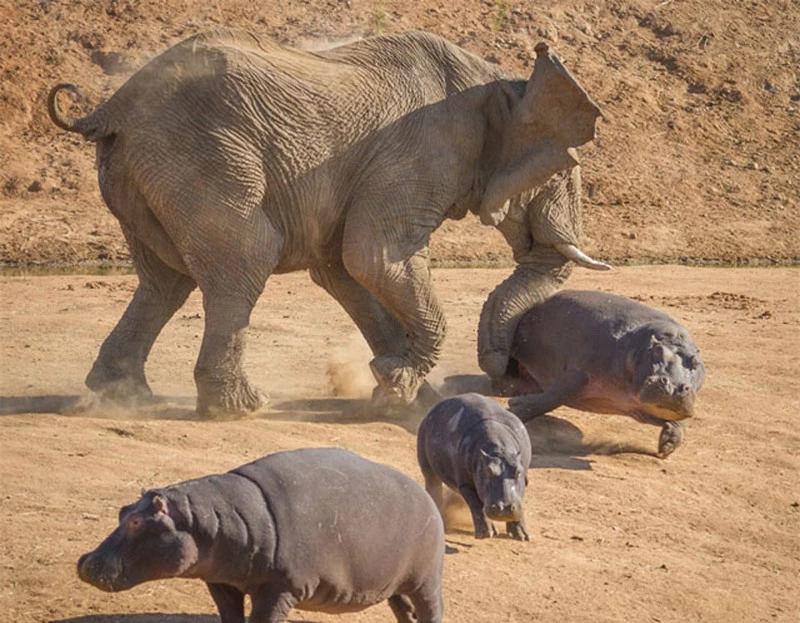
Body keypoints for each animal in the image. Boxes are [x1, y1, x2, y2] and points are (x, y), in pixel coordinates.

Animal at [47, 30, 604, 420]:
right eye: (564, 170)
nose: (502, 374)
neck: (501, 81)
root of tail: (111, 106)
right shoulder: (421, 152)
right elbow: (374, 258)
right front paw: (400, 384)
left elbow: (345, 270)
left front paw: (404, 394)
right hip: (203, 157)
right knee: (245, 260)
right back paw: (239, 409)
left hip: (141, 172)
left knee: (165, 281)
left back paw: (122, 396)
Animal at [76, 448, 444, 623]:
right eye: (122, 511)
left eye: (138, 522)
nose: (85, 561)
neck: (208, 520)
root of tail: (426, 496)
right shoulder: (220, 582)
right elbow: (229, 616)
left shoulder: (278, 588)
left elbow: (263, 618)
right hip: (393, 583)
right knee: (404, 610)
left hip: (426, 579)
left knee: (430, 609)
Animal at [418, 394, 532, 540]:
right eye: (486, 472)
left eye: (518, 472)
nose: (504, 508)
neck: (499, 451)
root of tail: (433, 409)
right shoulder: (464, 483)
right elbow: (476, 505)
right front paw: (485, 534)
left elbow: (518, 499)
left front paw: (522, 536)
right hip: (426, 463)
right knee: (433, 483)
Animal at [506, 288, 708, 458]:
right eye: (657, 350)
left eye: (696, 362)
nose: (674, 388)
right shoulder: (580, 372)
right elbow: (554, 396)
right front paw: (515, 409)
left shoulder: (637, 407)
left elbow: (676, 421)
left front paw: (667, 446)